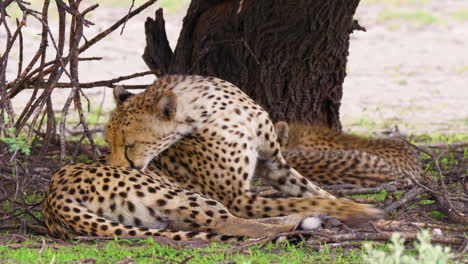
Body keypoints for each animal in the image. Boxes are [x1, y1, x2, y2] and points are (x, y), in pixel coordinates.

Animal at [106, 75, 380, 222]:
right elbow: (303, 202)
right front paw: (355, 208)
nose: (119, 168)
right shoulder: (236, 198)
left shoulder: (274, 163)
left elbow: (316, 192)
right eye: (109, 143)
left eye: (129, 145)